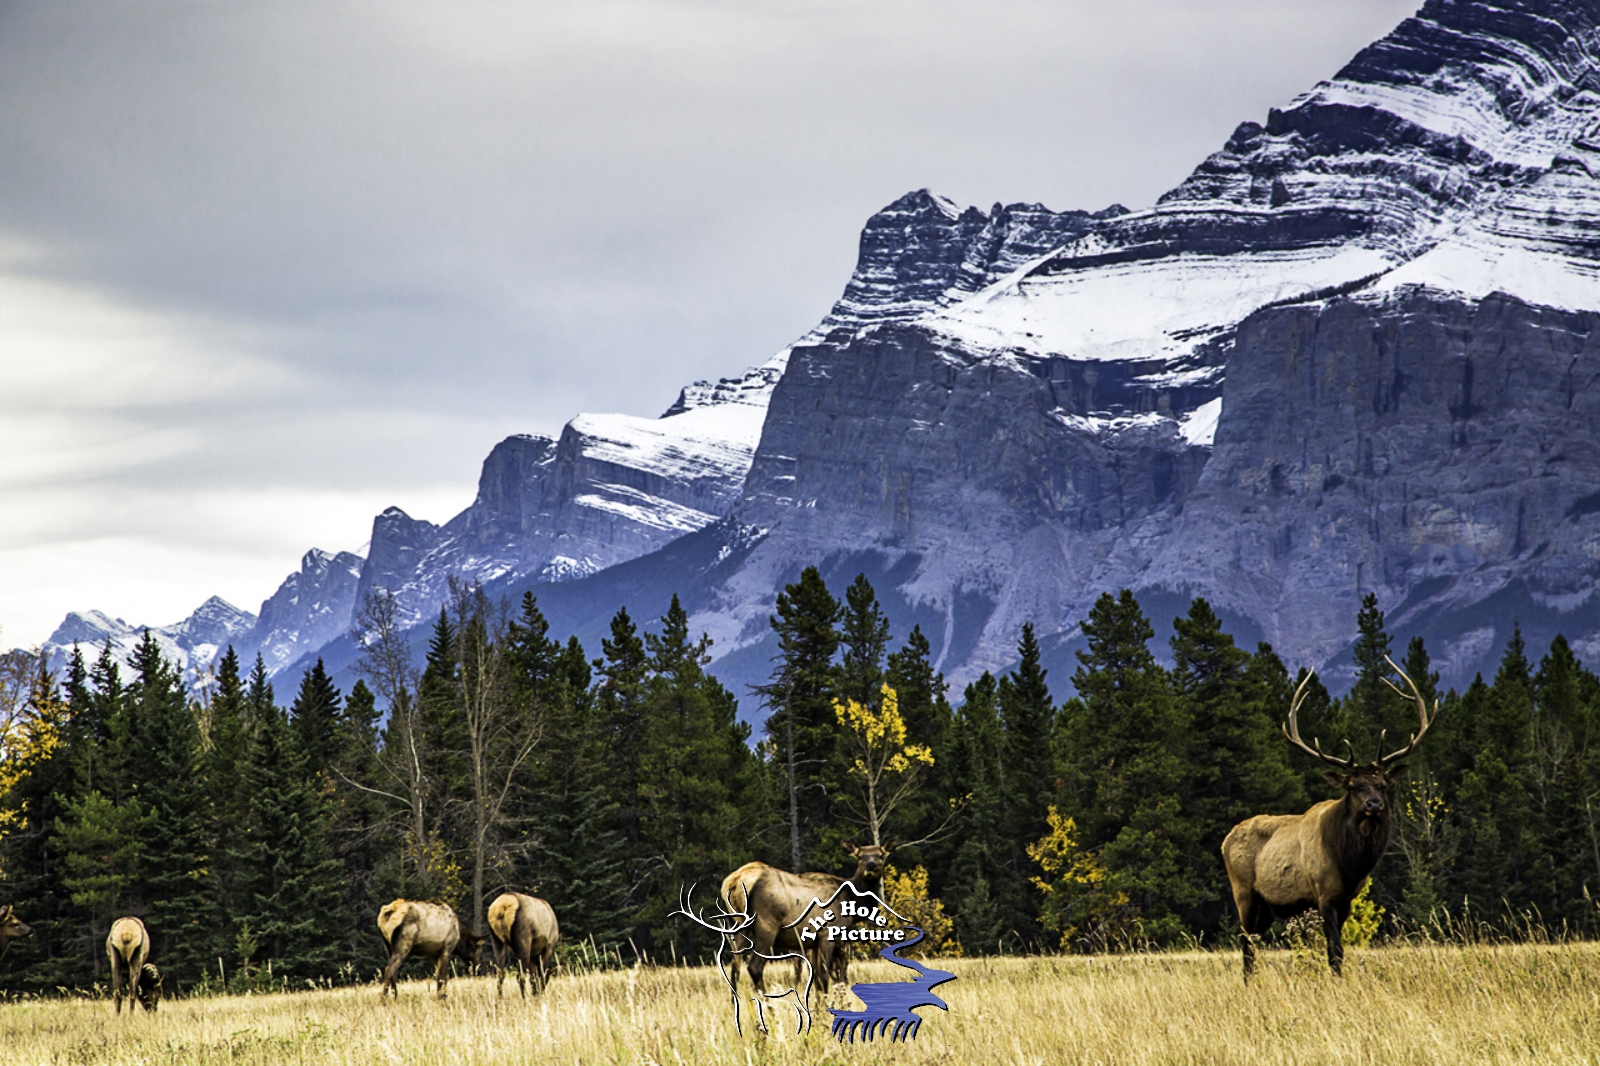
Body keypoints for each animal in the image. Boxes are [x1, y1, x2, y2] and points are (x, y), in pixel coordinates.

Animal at [1222, 656, 1438, 981]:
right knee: (1246, 943)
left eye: (1382, 784)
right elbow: (1334, 951)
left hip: (1268, 906)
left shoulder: (1347, 898)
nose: (1374, 804)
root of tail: (1224, 840)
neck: (1350, 863)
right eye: (1352, 786)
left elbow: (1340, 950)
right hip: (1244, 891)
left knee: (1253, 943)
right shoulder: (1322, 893)